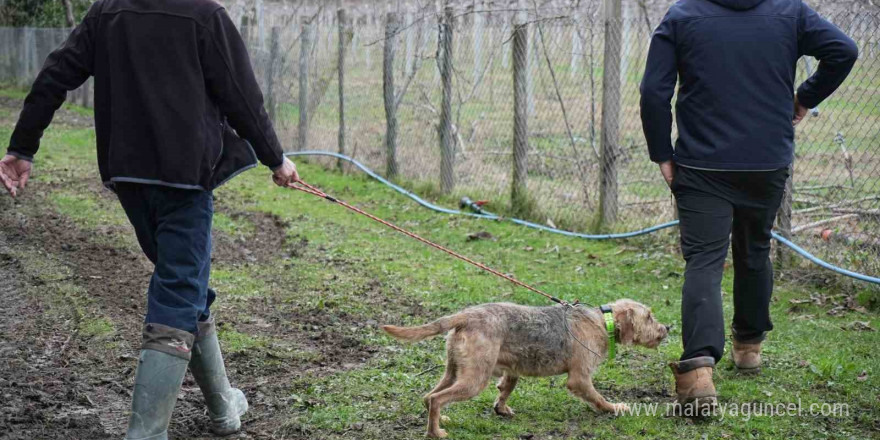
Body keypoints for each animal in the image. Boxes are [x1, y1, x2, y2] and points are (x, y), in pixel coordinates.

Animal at [382, 298, 672, 438]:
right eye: (649, 316)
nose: (667, 328)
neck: (603, 322)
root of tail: (466, 315)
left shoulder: (512, 370)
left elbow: (505, 388)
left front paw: (501, 408)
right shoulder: (580, 379)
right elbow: (599, 398)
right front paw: (615, 408)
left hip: (454, 371)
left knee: (429, 397)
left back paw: (441, 419)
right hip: (474, 379)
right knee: (437, 399)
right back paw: (435, 432)